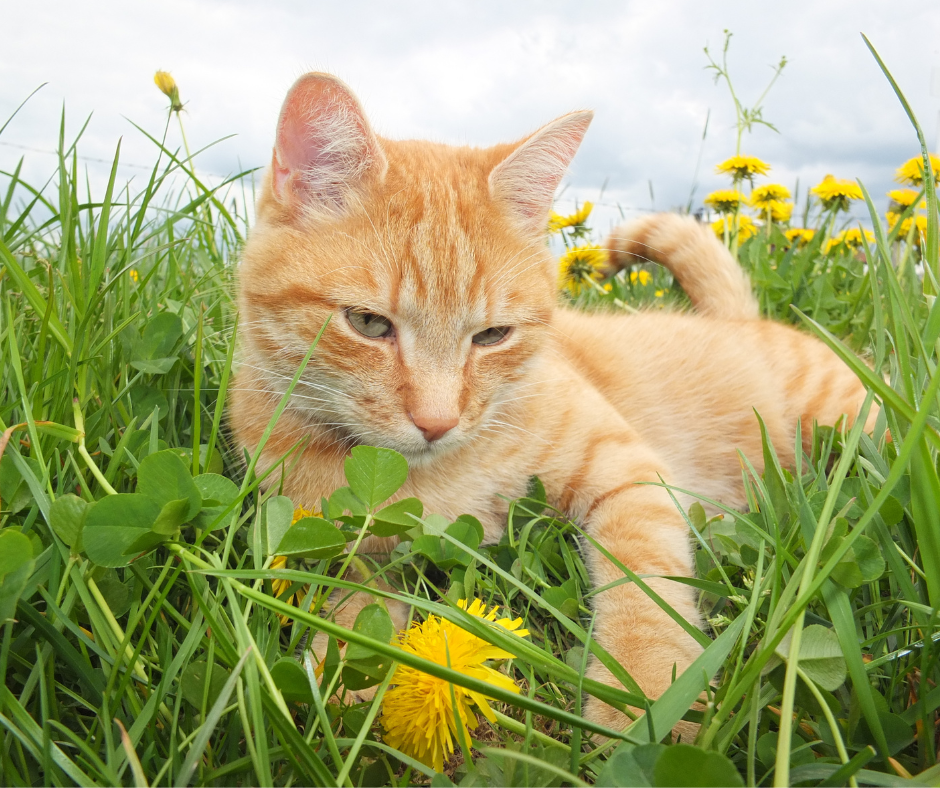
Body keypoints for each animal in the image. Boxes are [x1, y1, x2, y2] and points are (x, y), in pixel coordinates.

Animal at [233, 74, 872, 732]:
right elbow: (355, 607)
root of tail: (737, 319)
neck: (433, 476)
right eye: (367, 324)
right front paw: (342, 682)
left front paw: (647, 697)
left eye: (493, 336)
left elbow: (645, 587)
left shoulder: (629, 474)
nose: (437, 422)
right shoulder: (350, 547)